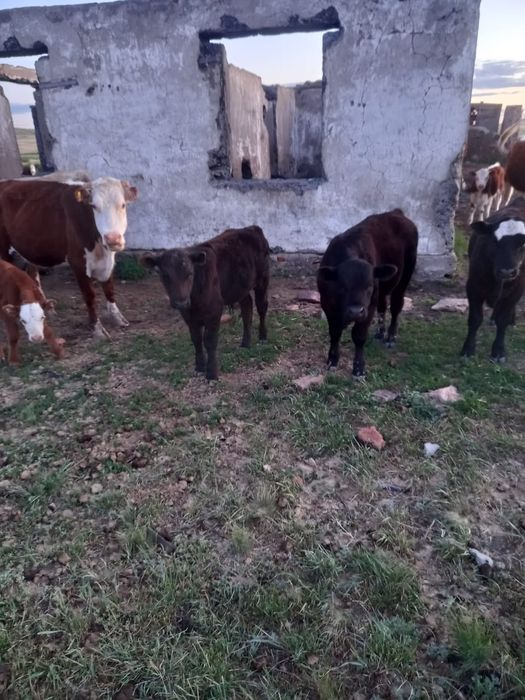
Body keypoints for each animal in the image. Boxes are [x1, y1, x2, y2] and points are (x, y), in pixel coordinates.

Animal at [0, 174, 138, 338]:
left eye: (123, 205)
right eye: (94, 206)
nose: (113, 239)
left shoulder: (108, 259)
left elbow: (109, 287)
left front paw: (117, 317)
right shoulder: (77, 262)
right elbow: (90, 296)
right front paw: (97, 328)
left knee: (32, 274)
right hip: (3, 250)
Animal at [141, 225, 270, 381]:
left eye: (190, 273)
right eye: (165, 275)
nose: (180, 302)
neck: (194, 301)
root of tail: (252, 228)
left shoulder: (214, 310)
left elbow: (209, 340)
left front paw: (212, 373)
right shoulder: (188, 315)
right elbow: (196, 339)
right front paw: (199, 367)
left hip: (262, 278)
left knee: (262, 306)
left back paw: (262, 336)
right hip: (240, 287)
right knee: (247, 307)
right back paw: (245, 343)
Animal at [317, 209, 418, 377]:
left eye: (369, 287)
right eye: (342, 287)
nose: (355, 311)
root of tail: (396, 213)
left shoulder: (368, 308)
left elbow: (359, 336)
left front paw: (358, 369)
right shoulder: (327, 305)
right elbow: (335, 332)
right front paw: (332, 360)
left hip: (405, 275)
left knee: (396, 305)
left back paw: (390, 336)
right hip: (382, 289)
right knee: (383, 305)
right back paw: (380, 332)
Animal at [460, 198, 525, 363]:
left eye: (523, 244)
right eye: (494, 241)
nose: (507, 271)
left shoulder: (517, 290)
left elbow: (503, 320)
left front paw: (498, 351)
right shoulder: (473, 287)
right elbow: (475, 319)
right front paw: (468, 349)